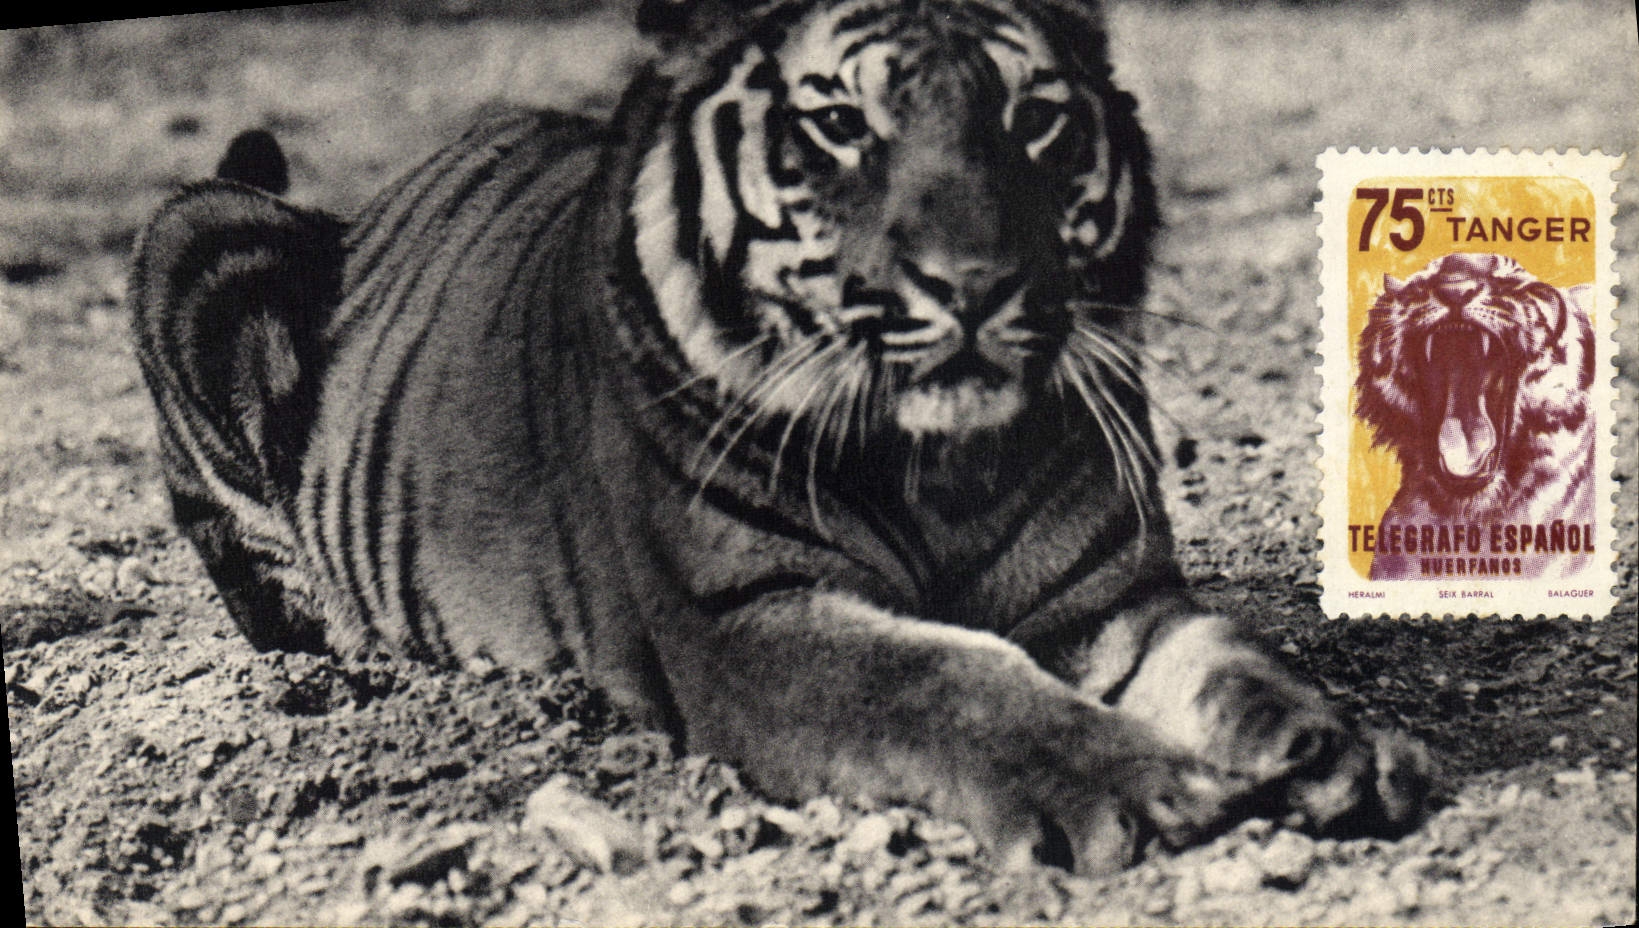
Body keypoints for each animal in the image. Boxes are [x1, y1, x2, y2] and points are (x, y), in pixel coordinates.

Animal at [131, 0, 1428, 873]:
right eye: (842, 124)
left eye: (1033, 119)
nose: (974, 283)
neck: (940, 462)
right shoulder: (746, 622)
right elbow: (948, 681)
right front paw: (1142, 789)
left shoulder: (1105, 599)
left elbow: (1232, 660)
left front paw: (1335, 747)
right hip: (196, 234)